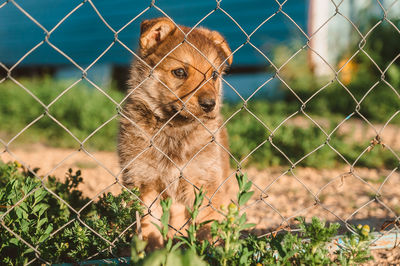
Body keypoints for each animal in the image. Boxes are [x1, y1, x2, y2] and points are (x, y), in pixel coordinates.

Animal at [117, 17, 233, 248]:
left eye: (214, 75)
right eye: (179, 72)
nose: (210, 104)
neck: (174, 127)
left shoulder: (205, 184)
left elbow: (207, 226)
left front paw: (207, 250)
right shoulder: (144, 183)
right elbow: (149, 228)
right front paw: (154, 251)